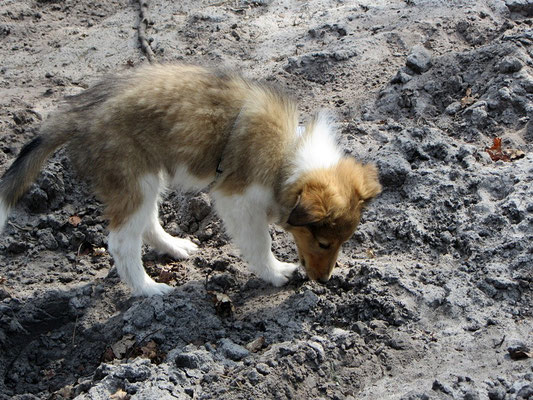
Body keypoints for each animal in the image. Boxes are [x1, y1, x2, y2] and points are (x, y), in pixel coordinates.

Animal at [1, 64, 382, 296]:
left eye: (342, 242)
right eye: (323, 243)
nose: (325, 281)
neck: (288, 153)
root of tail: (75, 115)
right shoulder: (237, 199)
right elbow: (260, 243)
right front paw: (276, 273)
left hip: (148, 177)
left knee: (146, 223)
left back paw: (175, 247)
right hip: (134, 178)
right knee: (122, 242)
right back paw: (149, 290)